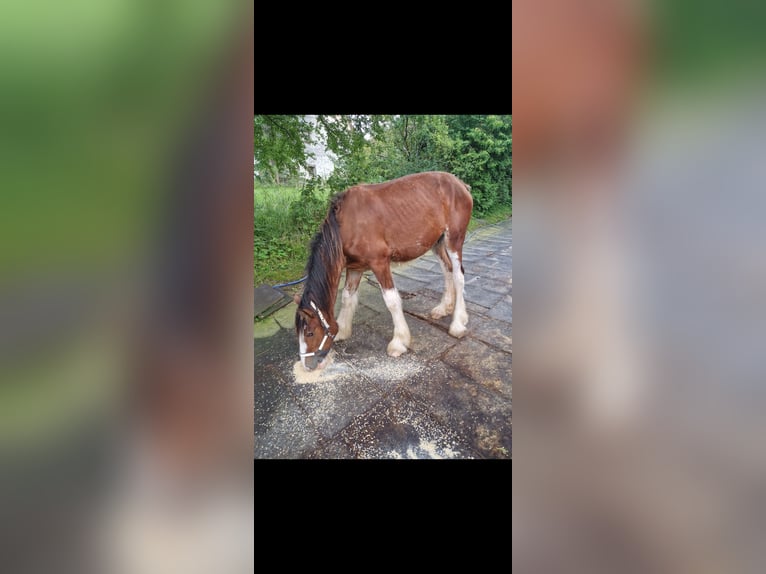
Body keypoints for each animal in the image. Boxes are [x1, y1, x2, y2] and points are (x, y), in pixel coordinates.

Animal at [294, 171, 474, 372]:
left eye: (309, 333)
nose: (307, 366)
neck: (345, 225)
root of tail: (460, 184)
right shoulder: (355, 268)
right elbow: (347, 297)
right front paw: (342, 329)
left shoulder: (379, 263)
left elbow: (392, 300)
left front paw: (399, 341)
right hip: (438, 241)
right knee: (447, 270)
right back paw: (444, 308)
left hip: (454, 239)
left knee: (458, 276)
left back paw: (457, 323)